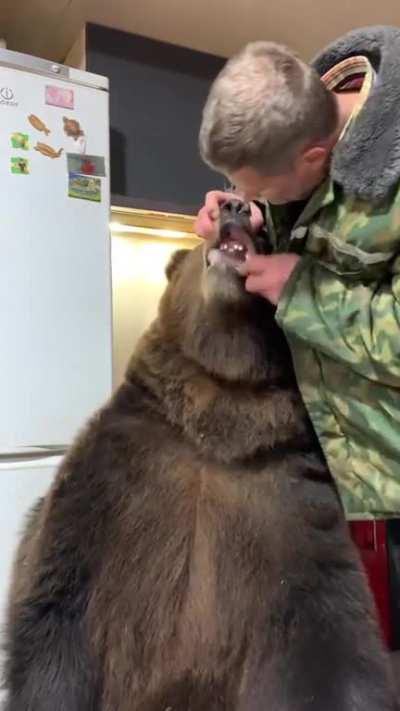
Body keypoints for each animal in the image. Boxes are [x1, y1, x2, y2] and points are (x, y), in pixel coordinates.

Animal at [2, 200, 397, 711]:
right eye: (198, 239)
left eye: (264, 236)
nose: (234, 206)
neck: (220, 409)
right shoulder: (115, 477)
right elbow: (59, 609)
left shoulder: (290, 506)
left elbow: (331, 646)